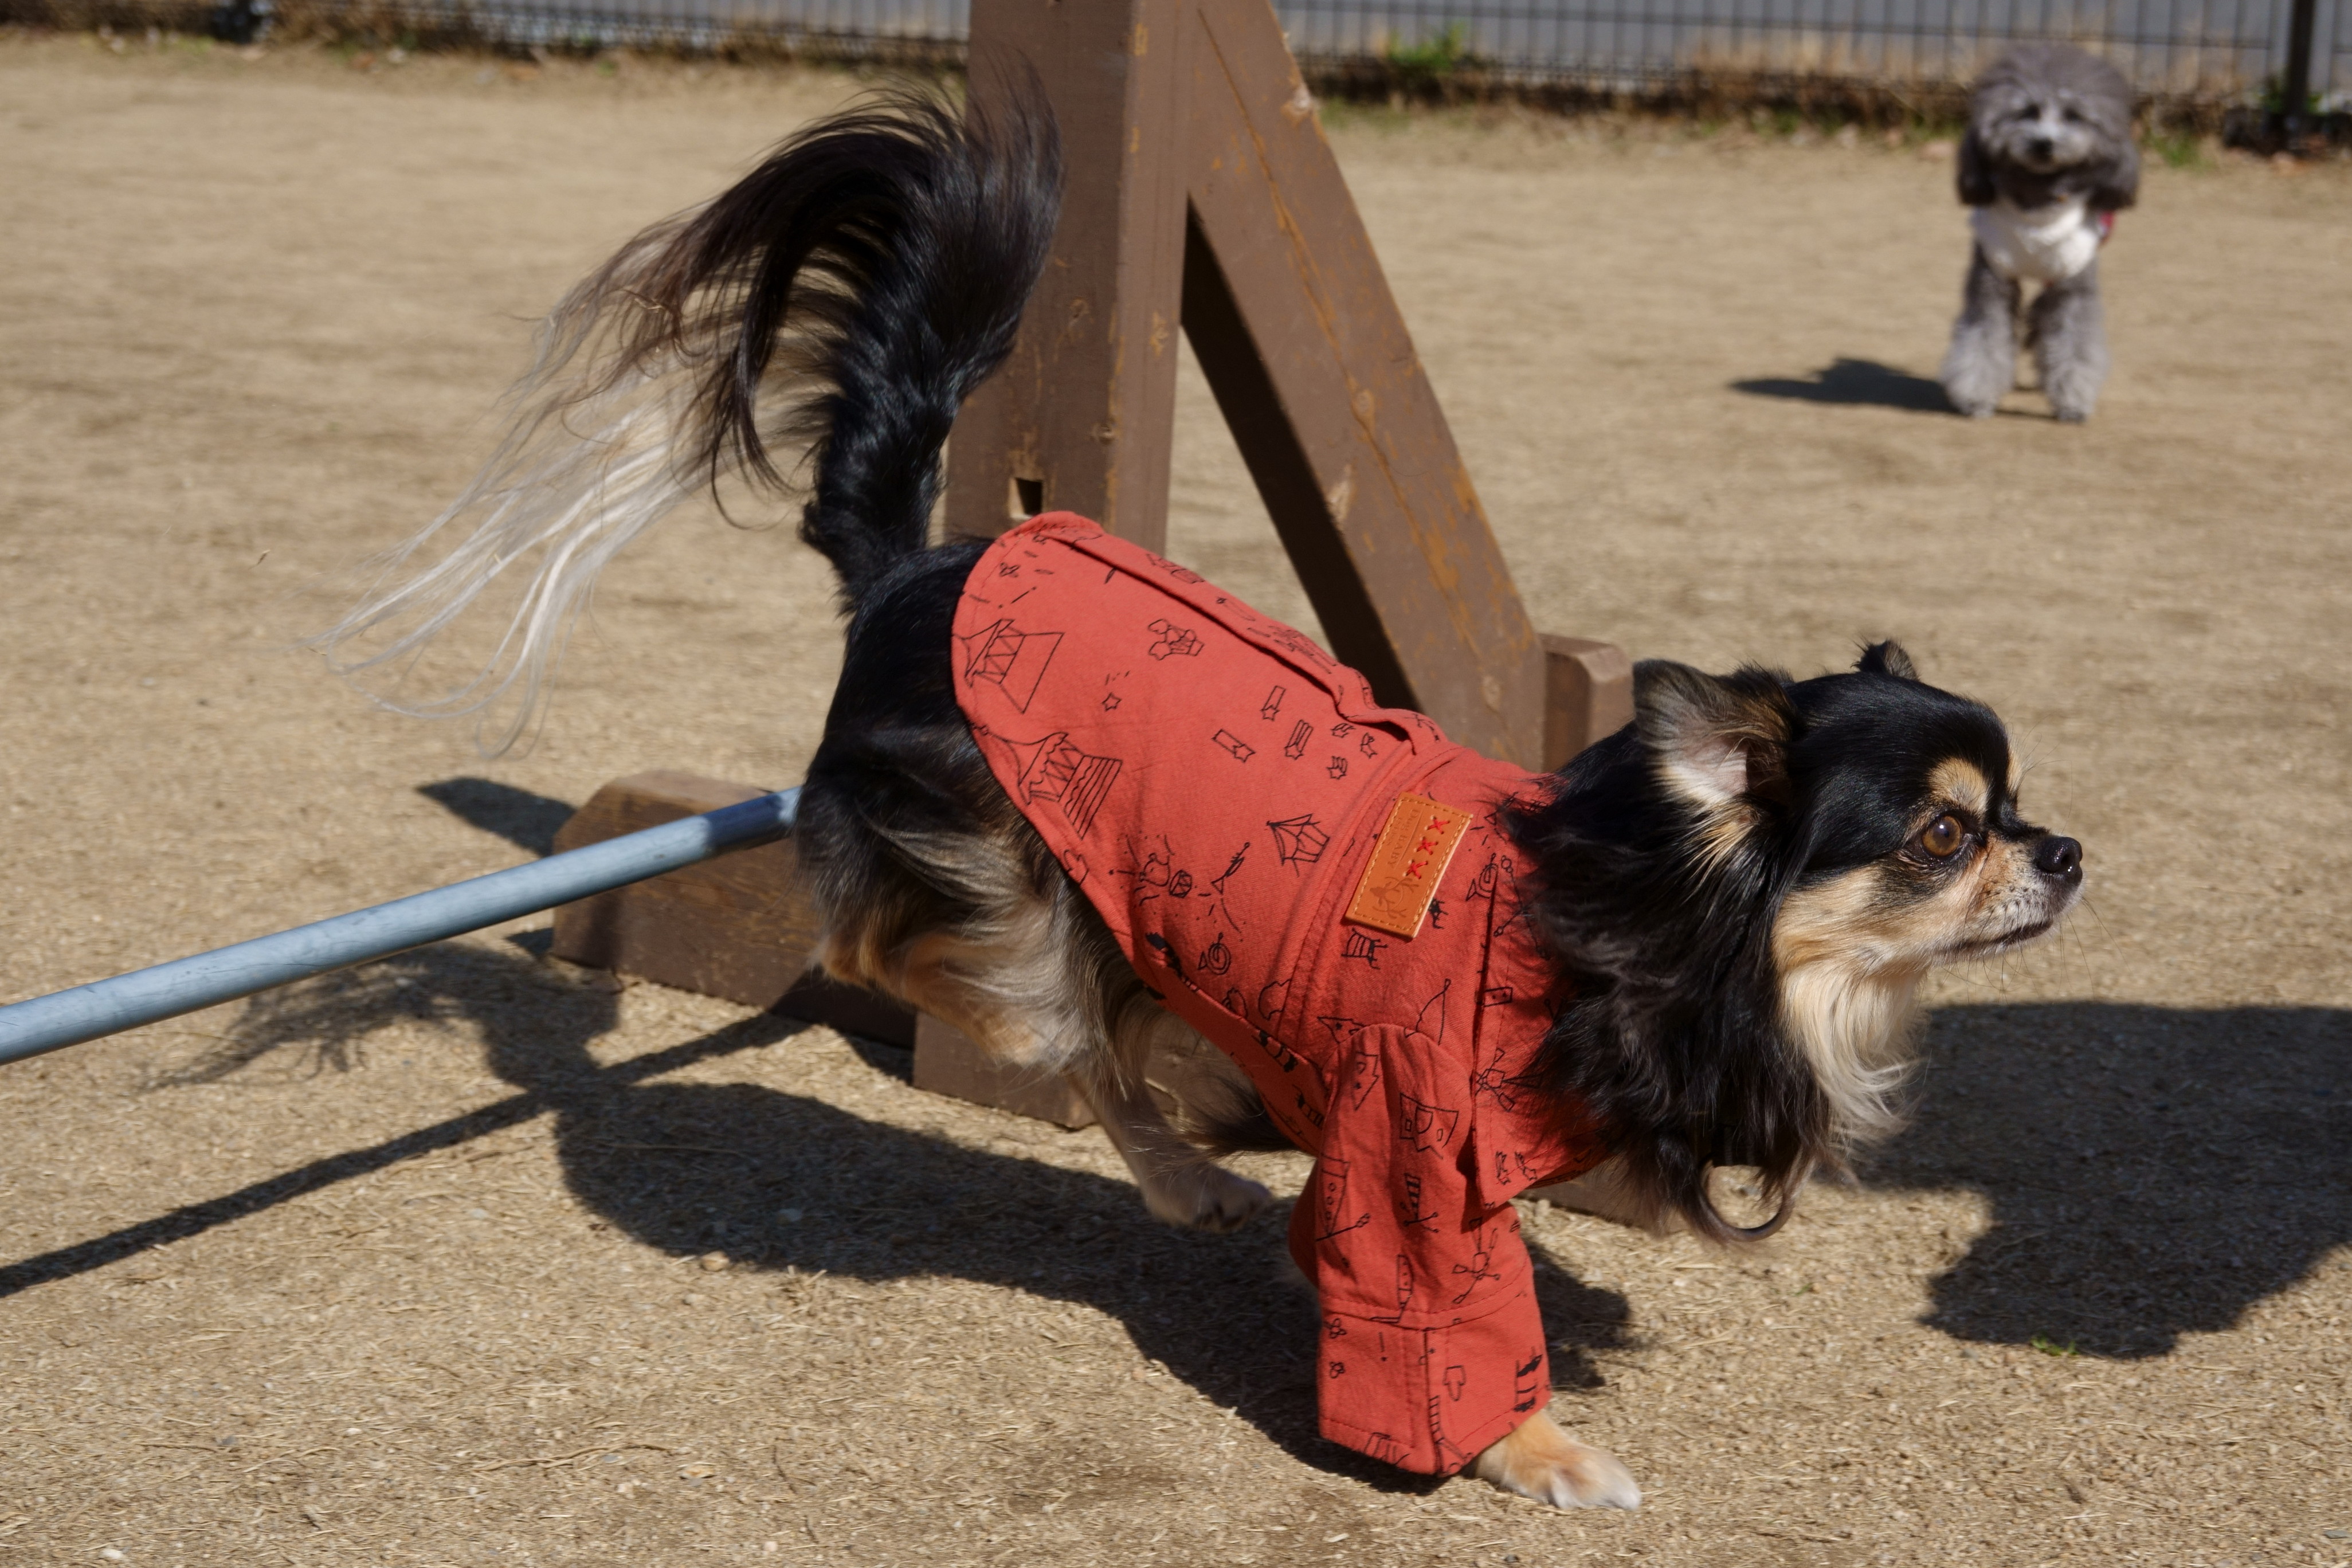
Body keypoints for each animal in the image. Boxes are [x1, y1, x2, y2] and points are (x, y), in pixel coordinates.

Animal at [1938, 42, 2145, 421]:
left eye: (2074, 116)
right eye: (2027, 112)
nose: (2044, 144)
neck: (2038, 199)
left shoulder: (2073, 283)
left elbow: (2074, 340)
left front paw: (2073, 401)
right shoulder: (1992, 276)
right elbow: (1983, 337)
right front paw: (1976, 398)